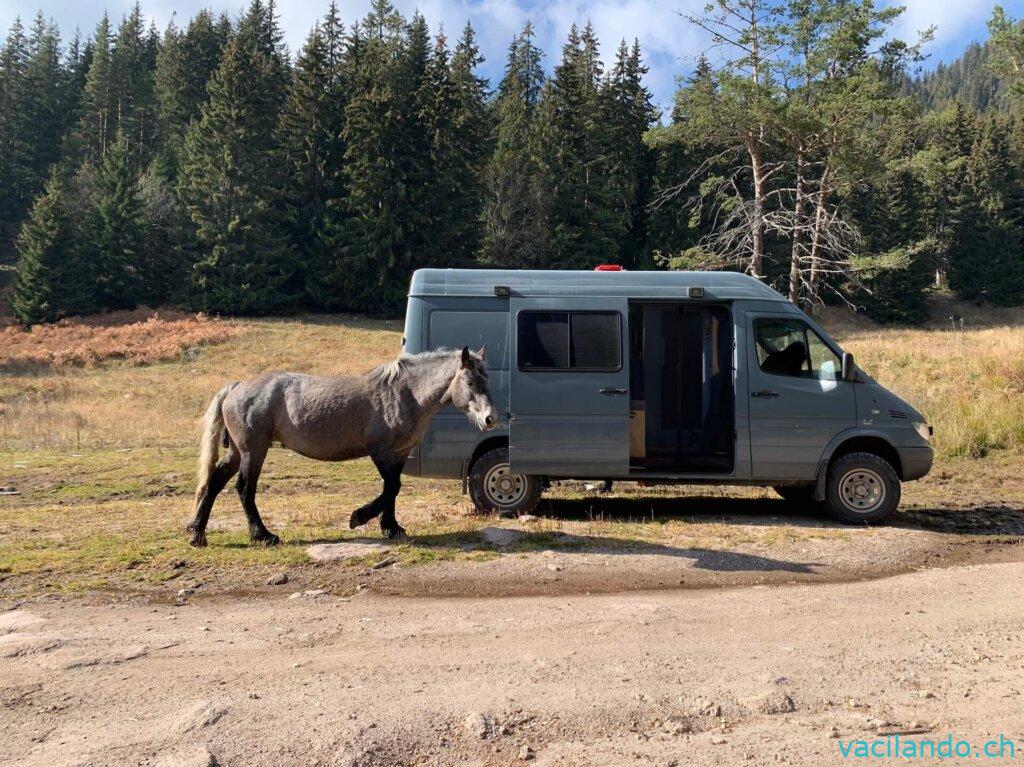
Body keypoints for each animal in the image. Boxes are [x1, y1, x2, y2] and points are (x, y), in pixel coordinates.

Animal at [190, 346, 501, 544]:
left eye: (487, 380)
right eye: (470, 381)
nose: (491, 419)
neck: (404, 394)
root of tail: (237, 386)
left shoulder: (399, 454)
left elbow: (393, 489)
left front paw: (392, 527)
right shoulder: (380, 451)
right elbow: (392, 487)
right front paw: (360, 517)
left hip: (237, 452)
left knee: (213, 484)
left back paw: (197, 533)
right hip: (254, 451)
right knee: (244, 489)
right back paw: (262, 535)